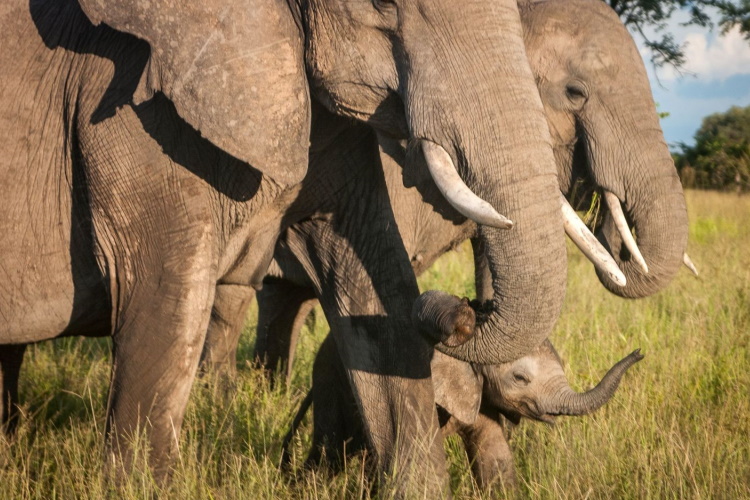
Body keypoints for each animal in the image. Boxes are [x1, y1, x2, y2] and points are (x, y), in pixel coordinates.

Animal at [284, 334, 648, 490]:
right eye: (520, 378)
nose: (640, 353)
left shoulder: (480, 393)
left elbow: (494, 454)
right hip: (331, 378)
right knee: (332, 450)